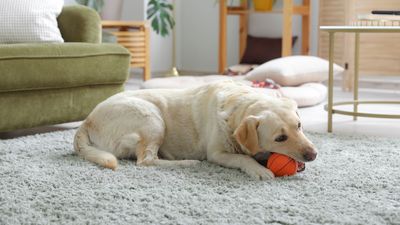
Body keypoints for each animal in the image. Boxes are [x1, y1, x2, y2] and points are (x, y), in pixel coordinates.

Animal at [74, 81, 316, 179]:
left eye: (299, 125)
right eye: (280, 138)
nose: (313, 154)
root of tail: (87, 120)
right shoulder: (217, 153)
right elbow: (243, 158)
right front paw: (259, 169)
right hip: (152, 118)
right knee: (146, 160)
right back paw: (187, 162)